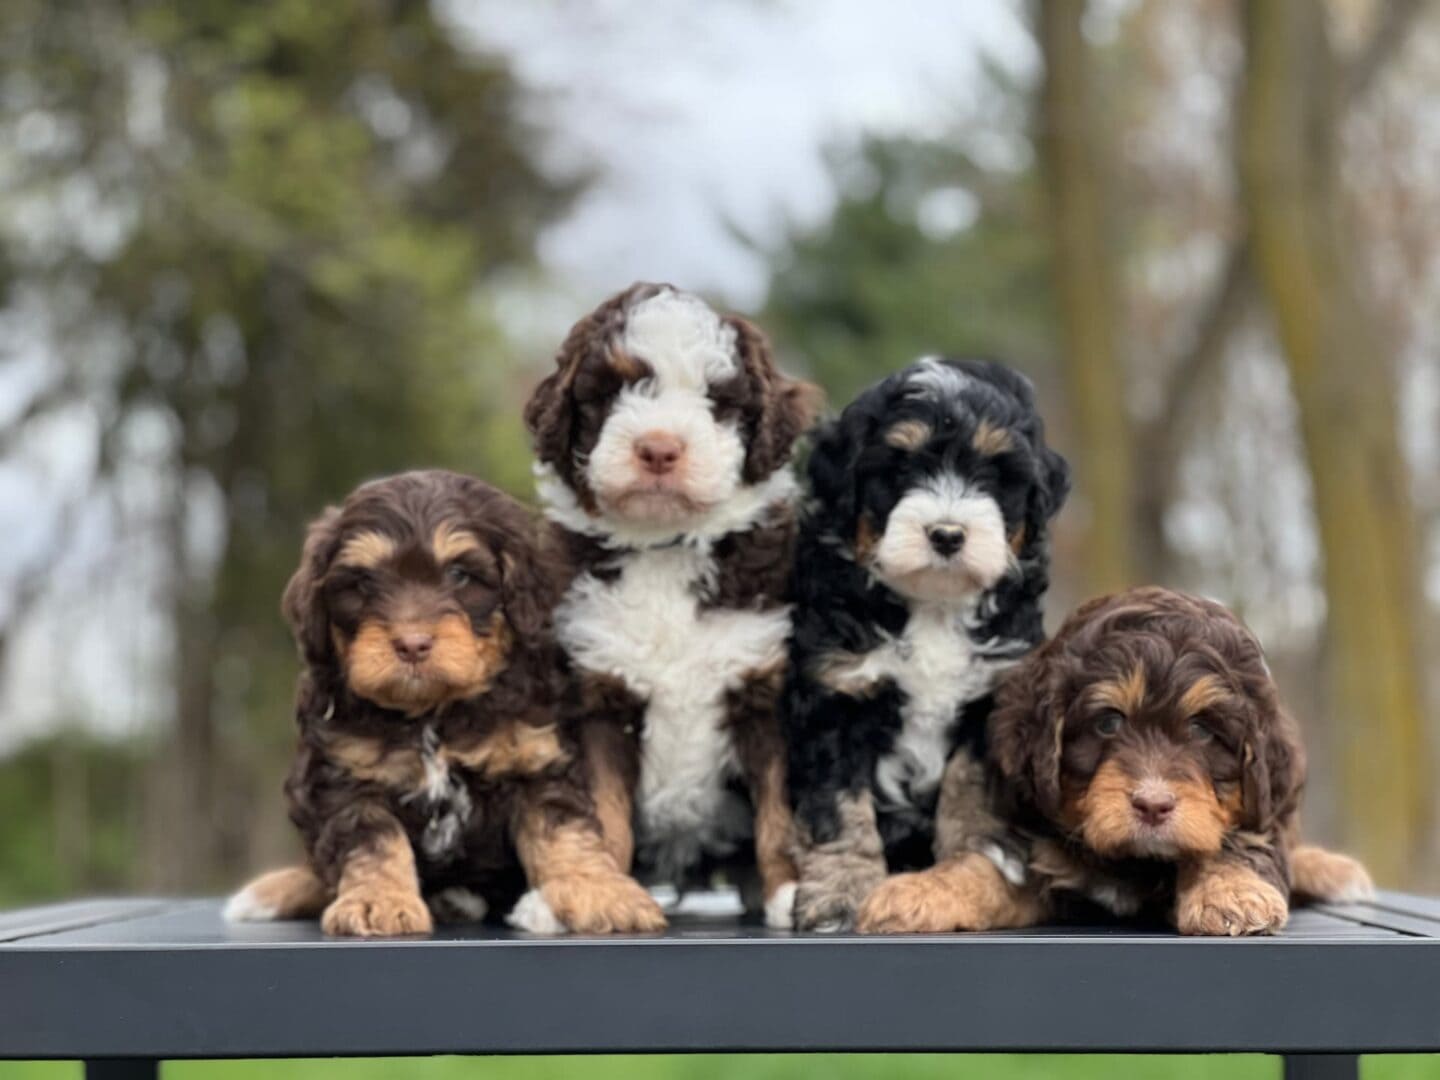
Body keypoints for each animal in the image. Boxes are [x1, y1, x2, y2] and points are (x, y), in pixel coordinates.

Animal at [227, 472, 665, 938]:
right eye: (362, 583)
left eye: (459, 575)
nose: (412, 644)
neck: (433, 713)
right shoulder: (344, 776)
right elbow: (373, 840)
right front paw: (378, 900)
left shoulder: (535, 758)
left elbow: (562, 828)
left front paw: (599, 891)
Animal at [527, 280, 823, 933]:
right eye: (613, 391)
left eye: (715, 399)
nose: (659, 449)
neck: (665, 549)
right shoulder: (596, 695)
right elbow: (601, 813)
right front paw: (599, 895)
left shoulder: (766, 688)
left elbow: (779, 809)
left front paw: (792, 890)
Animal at [783, 360, 1077, 933]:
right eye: (899, 471)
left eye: (994, 476)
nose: (946, 534)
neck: (934, 604)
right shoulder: (834, 695)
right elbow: (841, 806)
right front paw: (839, 893)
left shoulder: (995, 694)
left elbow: (970, 784)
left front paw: (974, 858)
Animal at [852, 587, 1370, 933]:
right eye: (1108, 723)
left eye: (1202, 731)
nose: (1153, 806)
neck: (1131, 860)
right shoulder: (1041, 856)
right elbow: (985, 869)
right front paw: (916, 891)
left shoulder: (1257, 818)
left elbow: (1234, 845)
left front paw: (1234, 895)